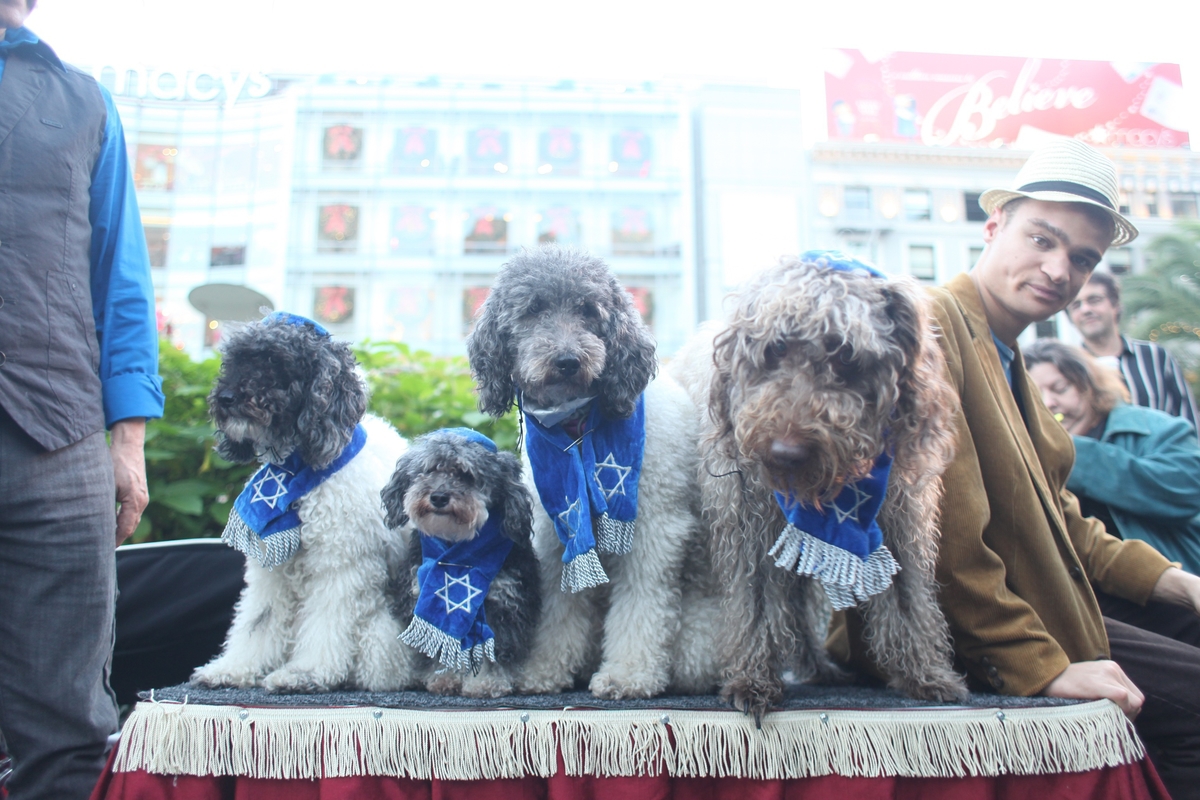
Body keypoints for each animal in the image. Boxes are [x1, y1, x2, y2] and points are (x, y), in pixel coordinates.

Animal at [187, 311, 412, 695]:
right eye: (235, 361)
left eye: (275, 362)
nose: (226, 397)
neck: (299, 472)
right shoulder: (270, 570)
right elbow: (258, 620)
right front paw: (234, 668)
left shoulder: (340, 566)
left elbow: (325, 624)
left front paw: (306, 672)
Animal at [379, 429, 540, 695]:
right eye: (429, 470)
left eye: (467, 475)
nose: (438, 497)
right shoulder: (427, 606)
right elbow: (441, 648)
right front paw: (444, 678)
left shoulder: (503, 608)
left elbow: (492, 653)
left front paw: (487, 683)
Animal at [672, 253, 969, 714]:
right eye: (775, 348)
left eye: (845, 353)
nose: (784, 452)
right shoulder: (748, 530)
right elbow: (754, 605)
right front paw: (752, 680)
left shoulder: (899, 522)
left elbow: (907, 599)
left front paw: (924, 671)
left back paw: (817, 665)